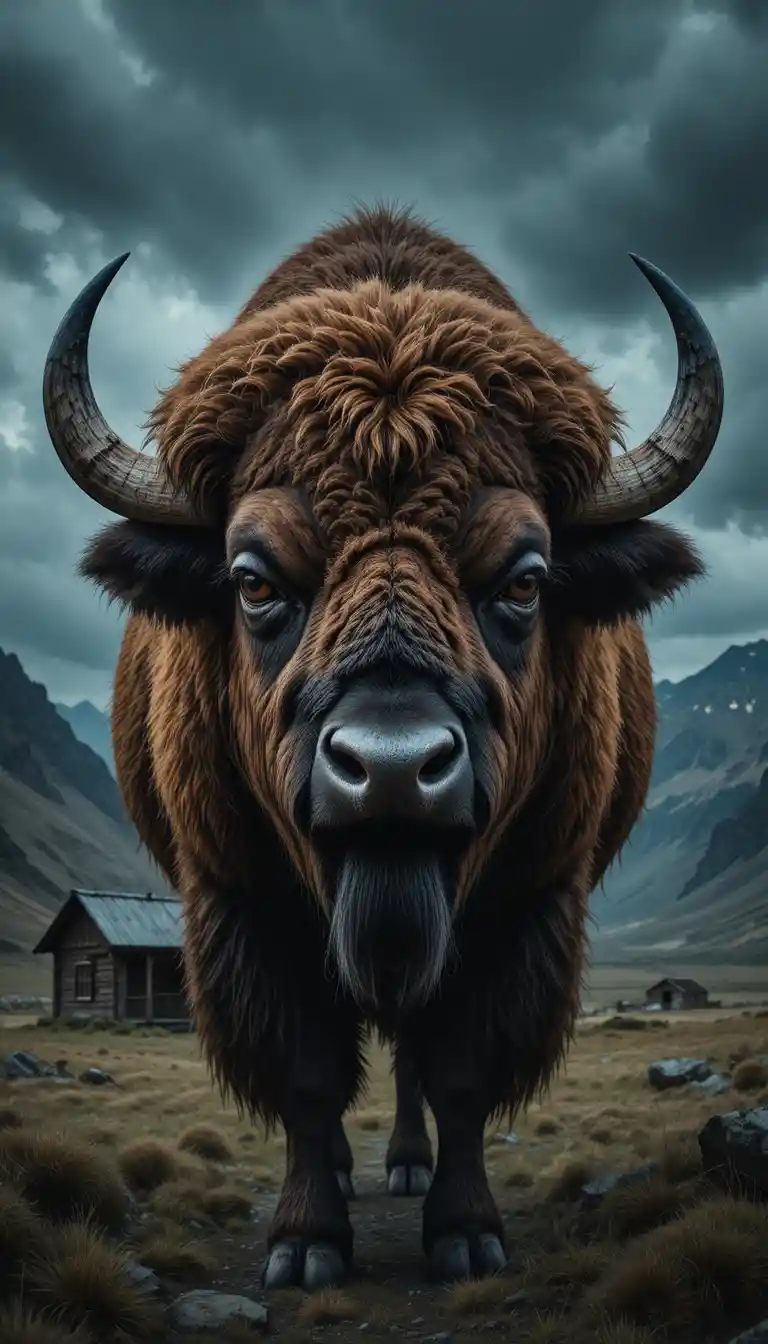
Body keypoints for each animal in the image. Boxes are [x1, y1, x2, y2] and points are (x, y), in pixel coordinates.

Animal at [42, 206, 723, 1288]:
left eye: (526, 579)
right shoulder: (240, 905)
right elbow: (309, 1080)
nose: (394, 771)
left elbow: (461, 1073)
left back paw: (405, 1166)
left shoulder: (528, 904)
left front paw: (467, 1234)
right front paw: (305, 1243)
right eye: (253, 579)